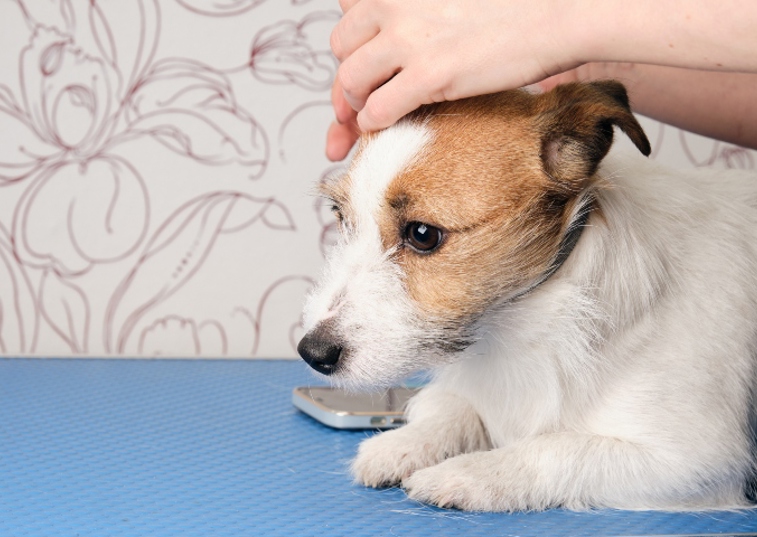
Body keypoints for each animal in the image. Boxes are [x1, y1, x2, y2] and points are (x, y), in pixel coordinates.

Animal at [296, 82, 756, 510]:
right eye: (340, 216)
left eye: (422, 234)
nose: (312, 353)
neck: (519, 323)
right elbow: (453, 409)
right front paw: (404, 443)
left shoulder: (694, 460)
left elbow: (557, 450)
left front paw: (469, 474)